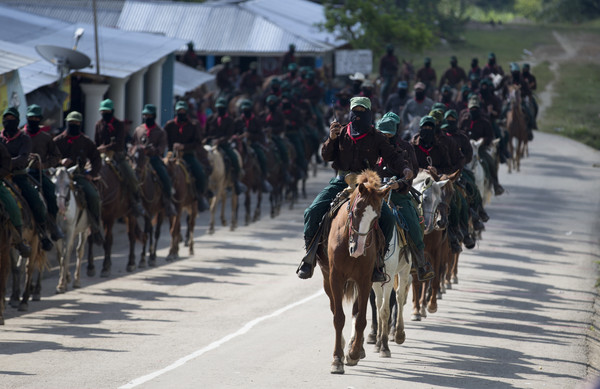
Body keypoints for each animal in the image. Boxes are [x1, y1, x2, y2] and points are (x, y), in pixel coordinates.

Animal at [314, 170, 394, 372]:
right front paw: (337, 358)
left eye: (377, 217)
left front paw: (354, 353)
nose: (357, 250)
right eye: (356, 211)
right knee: (335, 309)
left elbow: (361, 319)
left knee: (357, 312)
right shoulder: (335, 278)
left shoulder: (365, 280)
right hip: (327, 279)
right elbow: (338, 318)